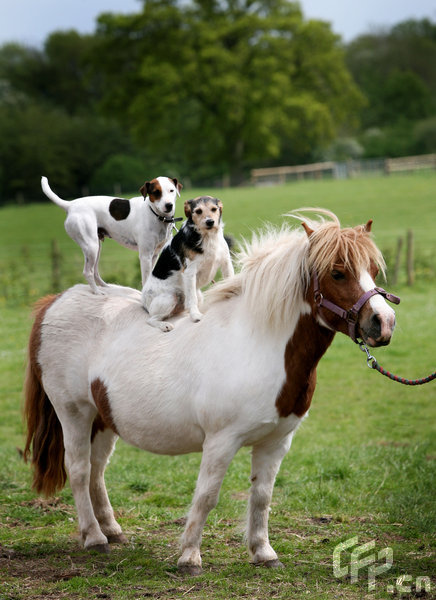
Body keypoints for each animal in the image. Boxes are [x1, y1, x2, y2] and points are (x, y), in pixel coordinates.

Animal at [23, 209, 398, 576]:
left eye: (372, 270)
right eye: (338, 273)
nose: (383, 322)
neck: (259, 343)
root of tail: (55, 301)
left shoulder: (276, 442)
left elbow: (262, 496)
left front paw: (263, 552)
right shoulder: (221, 441)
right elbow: (206, 496)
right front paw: (189, 557)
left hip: (103, 419)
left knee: (97, 470)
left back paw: (113, 531)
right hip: (74, 412)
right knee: (79, 469)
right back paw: (94, 537)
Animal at [41, 175, 182, 294]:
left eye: (171, 190)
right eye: (156, 192)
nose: (169, 205)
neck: (155, 214)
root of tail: (70, 205)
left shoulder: (155, 254)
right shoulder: (145, 256)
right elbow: (146, 278)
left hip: (96, 247)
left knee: (95, 272)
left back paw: (107, 287)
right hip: (91, 247)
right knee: (88, 272)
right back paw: (97, 292)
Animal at [142, 195, 235, 330]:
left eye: (214, 209)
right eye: (198, 211)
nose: (210, 222)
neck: (207, 237)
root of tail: (143, 302)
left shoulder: (226, 262)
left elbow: (230, 280)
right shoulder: (190, 272)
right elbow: (192, 298)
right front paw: (195, 315)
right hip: (169, 298)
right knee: (150, 319)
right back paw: (165, 325)